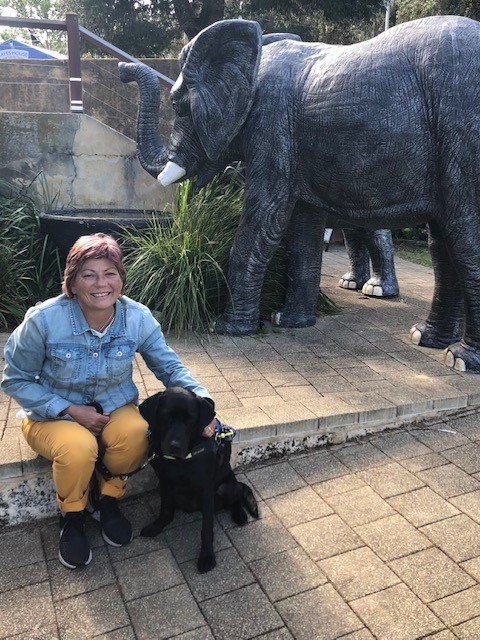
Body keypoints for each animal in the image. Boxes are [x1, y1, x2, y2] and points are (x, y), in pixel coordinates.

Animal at [139, 388, 258, 572]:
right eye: (166, 417)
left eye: (190, 420)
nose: (174, 446)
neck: (179, 462)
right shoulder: (164, 481)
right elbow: (165, 510)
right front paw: (157, 525)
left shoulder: (206, 490)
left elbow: (206, 529)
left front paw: (207, 556)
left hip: (226, 488)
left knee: (237, 494)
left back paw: (239, 514)